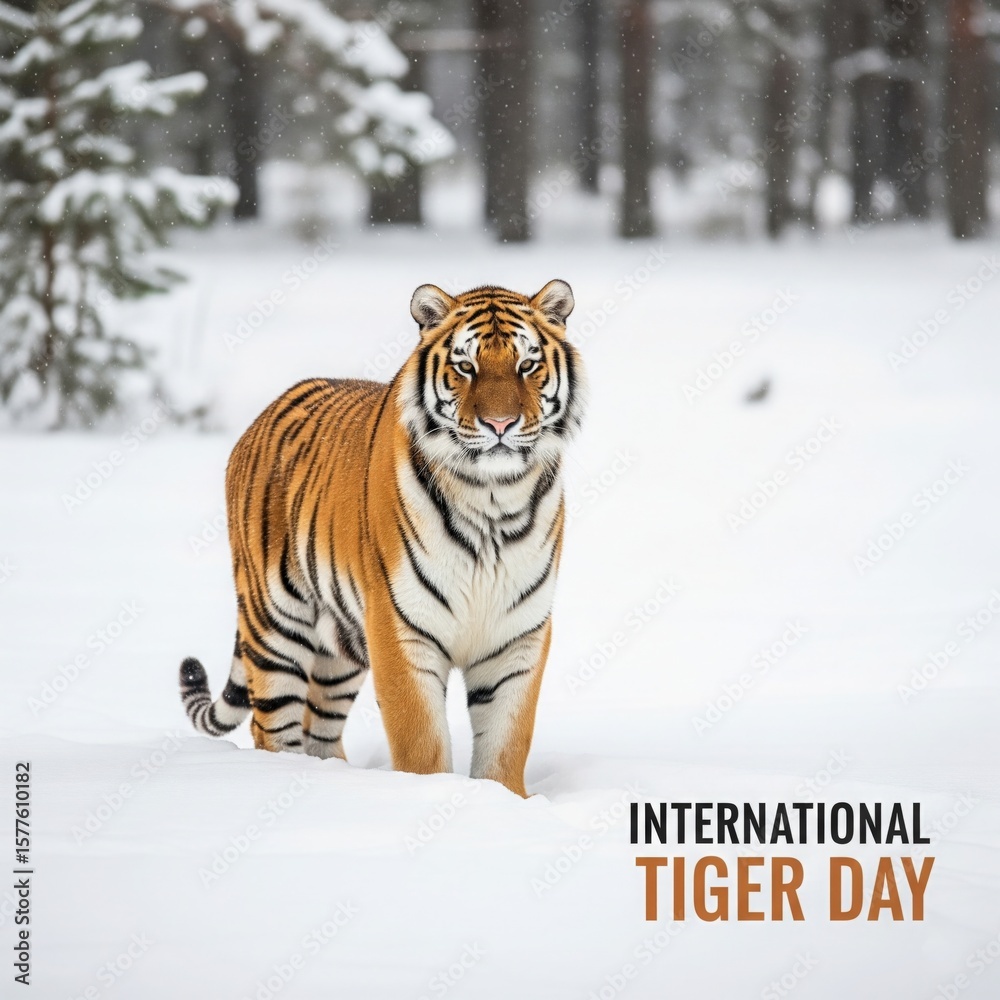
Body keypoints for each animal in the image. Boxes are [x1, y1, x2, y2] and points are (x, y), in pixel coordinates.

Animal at [179, 280, 584, 797]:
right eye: (465, 366)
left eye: (527, 365)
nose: (500, 425)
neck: (492, 499)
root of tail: (262, 415)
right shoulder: (399, 628)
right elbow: (421, 743)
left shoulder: (517, 637)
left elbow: (505, 745)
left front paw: (504, 800)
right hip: (275, 625)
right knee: (271, 725)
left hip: (339, 647)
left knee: (319, 726)